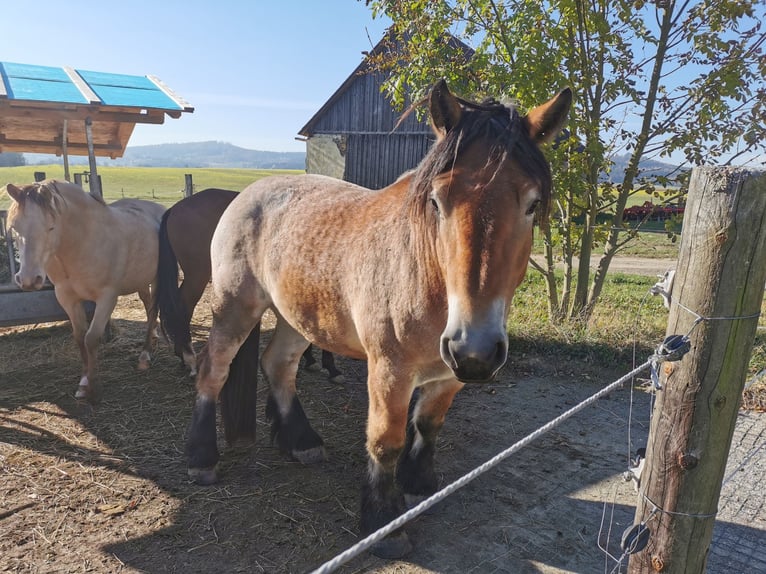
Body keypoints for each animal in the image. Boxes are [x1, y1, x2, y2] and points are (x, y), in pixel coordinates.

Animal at [6, 182, 165, 402]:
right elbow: (79, 337)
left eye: (51, 227)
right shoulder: (67, 299)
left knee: (153, 311)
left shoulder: (107, 298)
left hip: (158, 279)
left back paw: (145, 356)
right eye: (14, 227)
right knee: (149, 307)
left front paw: (94, 389)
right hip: (141, 281)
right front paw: (83, 383)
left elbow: (91, 338)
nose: (29, 279)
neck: (83, 244)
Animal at [184, 81, 568, 560]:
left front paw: (419, 484)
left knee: (279, 364)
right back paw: (202, 459)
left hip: (300, 316)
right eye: (438, 201)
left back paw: (302, 442)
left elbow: (429, 424)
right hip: (235, 307)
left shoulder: (450, 373)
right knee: (213, 370)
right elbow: (386, 440)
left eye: (532, 204)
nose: (474, 348)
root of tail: (248, 193)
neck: (428, 280)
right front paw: (385, 523)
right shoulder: (390, 370)